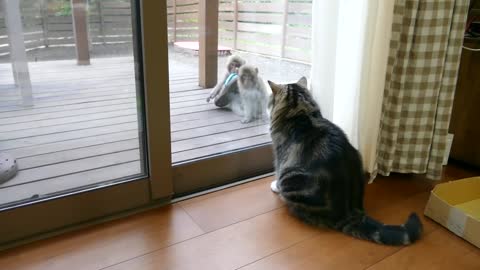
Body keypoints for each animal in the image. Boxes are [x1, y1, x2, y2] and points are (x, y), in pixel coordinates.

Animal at [268, 77, 422, 246]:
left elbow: (277, 173)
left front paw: (275, 186)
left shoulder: (280, 156)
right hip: (358, 156)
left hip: (292, 179)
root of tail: (349, 212)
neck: (302, 112)